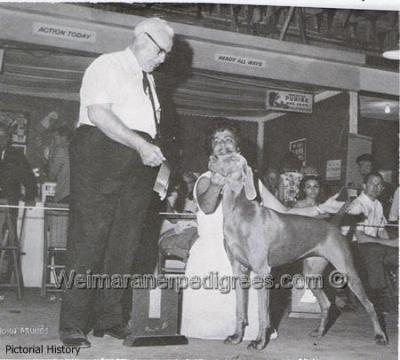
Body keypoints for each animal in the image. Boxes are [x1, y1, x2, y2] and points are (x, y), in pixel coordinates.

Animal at [209, 153, 388, 352]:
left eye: (232, 157)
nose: (212, 156)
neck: (238, 211)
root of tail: (333, 225)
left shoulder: (262, 271)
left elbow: (263, 315)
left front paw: (260, 342)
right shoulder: (239, 270)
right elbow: (240, 310)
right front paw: (236, 337)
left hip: (347, 270)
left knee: (370, 304)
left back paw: (380, 336)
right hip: (311, 273)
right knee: (326, 303)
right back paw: (319, 332)